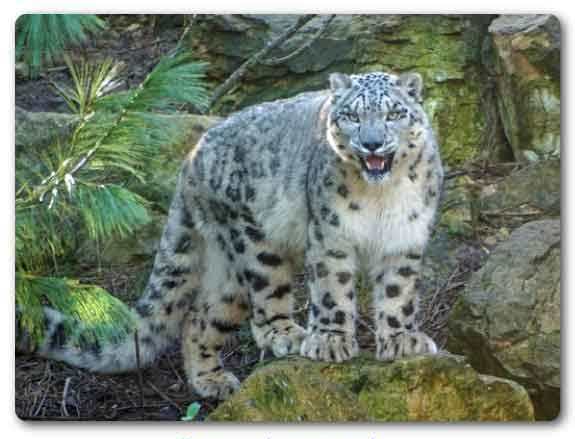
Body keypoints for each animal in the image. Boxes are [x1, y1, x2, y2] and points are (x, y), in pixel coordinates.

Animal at [28, 71, 446, 402]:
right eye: (352, 116)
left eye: (393, 114)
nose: (372, 142)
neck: (382, 197)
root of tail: (191, 157)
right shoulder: (330, 237)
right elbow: (331, 290)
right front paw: (329, 341)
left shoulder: (404, 239)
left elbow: (397, 292)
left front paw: (402, 340)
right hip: (253, 245)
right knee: (259, 301)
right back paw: (284, 334)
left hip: (225, 269)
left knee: (199, 318)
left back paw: (211, 381)